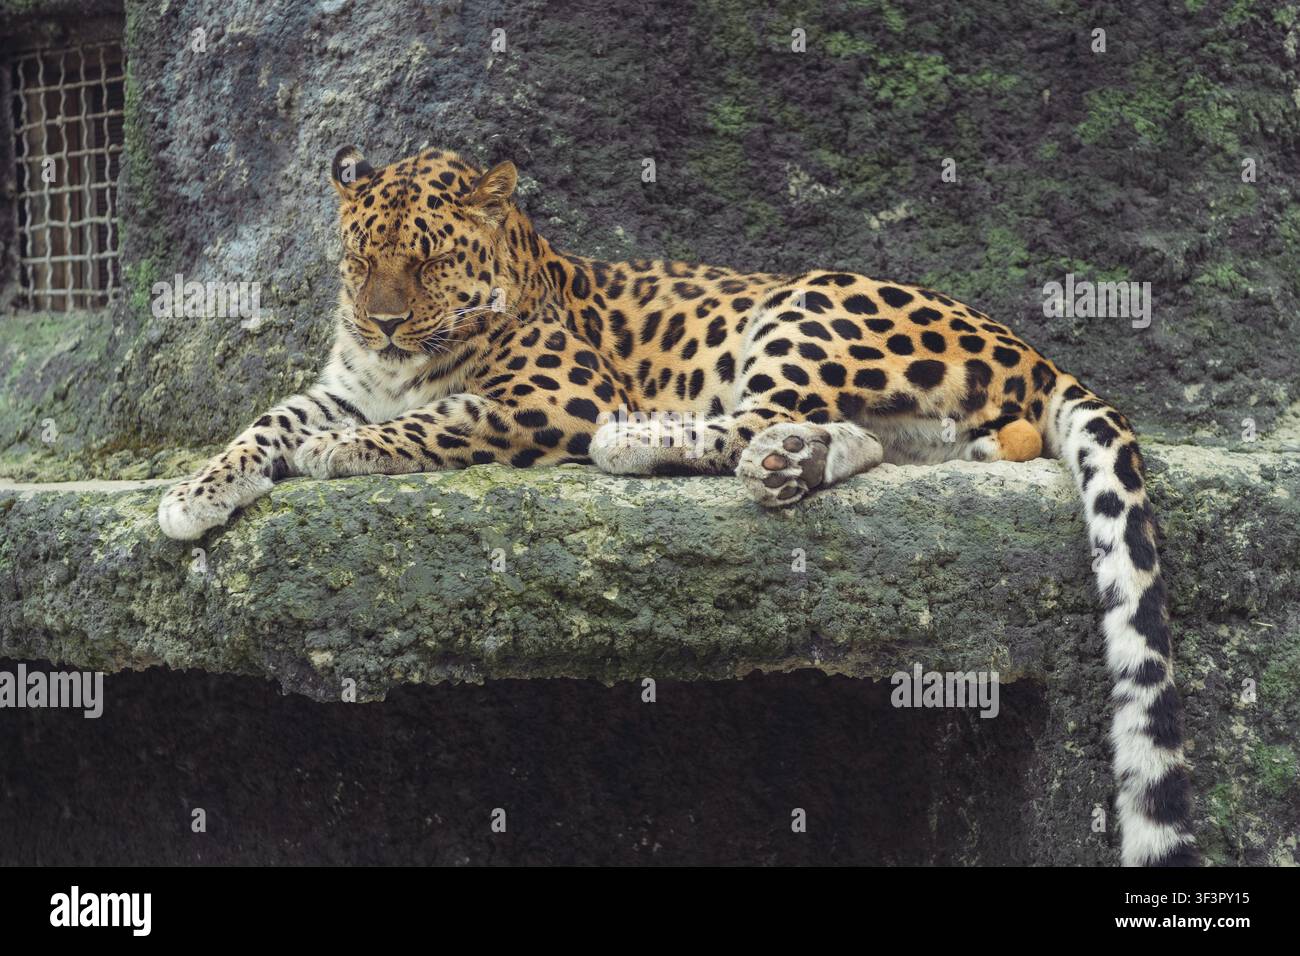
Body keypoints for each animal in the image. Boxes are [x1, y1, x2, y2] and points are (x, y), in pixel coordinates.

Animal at [158, 145, 1196, 866]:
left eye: (429, 260)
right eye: (361, 255)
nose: (380, 319)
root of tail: (1031, 348)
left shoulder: (553, 397)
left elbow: (431, 422)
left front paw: (338, 454)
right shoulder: (344, 385)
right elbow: (265, 422)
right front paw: (194, 494)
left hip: (804, 306)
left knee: (762, 411)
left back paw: (647, 441)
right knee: (854, 438)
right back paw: (786, 468)